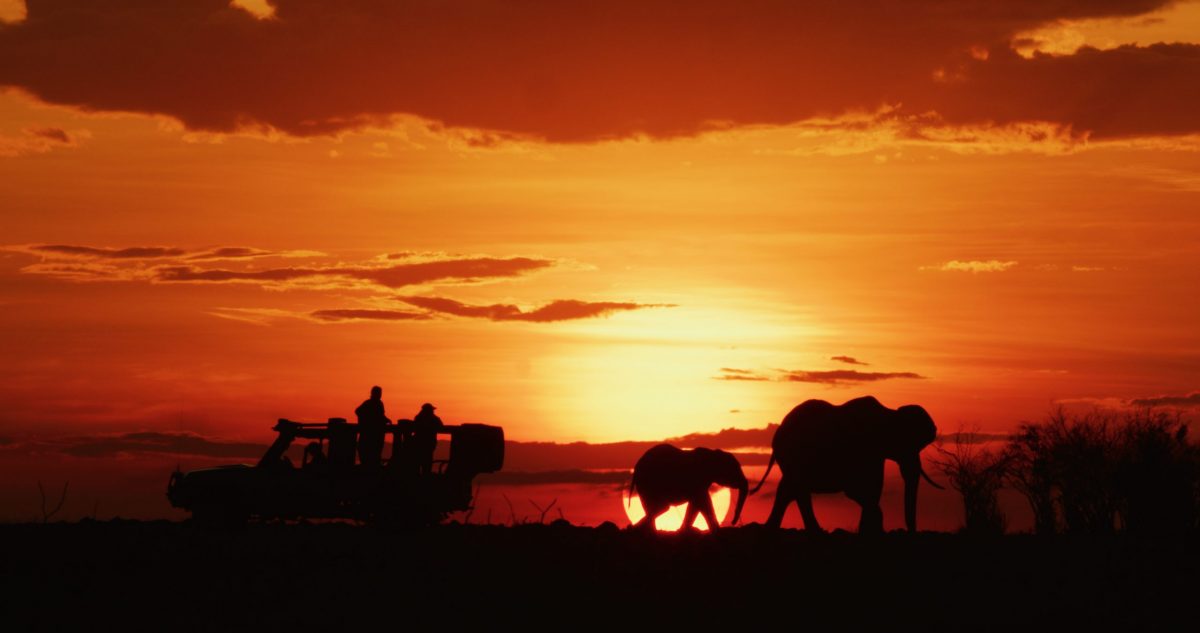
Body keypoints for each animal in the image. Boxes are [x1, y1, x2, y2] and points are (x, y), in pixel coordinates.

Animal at [753, 398, 940, 532]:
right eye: (909, 444)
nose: (910, 530)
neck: (890, 414)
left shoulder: (876, 454)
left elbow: (873, 489)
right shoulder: (862, 448)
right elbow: (858, 489)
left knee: (788, 489)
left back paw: (771, 529)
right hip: (793, 454)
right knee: (797, 489)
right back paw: (814, 532)